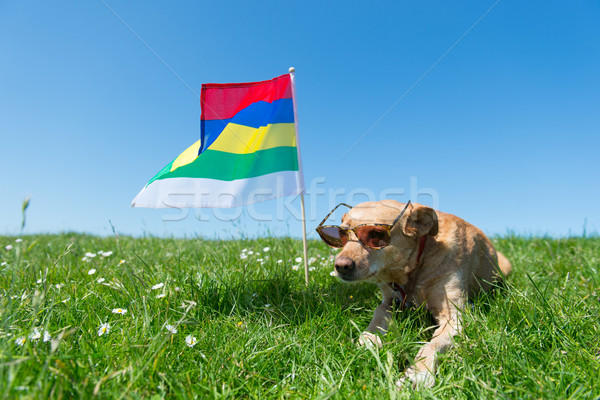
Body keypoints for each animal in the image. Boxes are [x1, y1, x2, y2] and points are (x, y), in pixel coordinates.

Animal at [318, 202, 510, 390]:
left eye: (376, 234)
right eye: (341, 233)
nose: (341, 266)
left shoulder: (454, 317)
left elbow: (432, 345)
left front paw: (417, 374)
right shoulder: (389, 302)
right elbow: (377, 317)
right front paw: (367, 341)